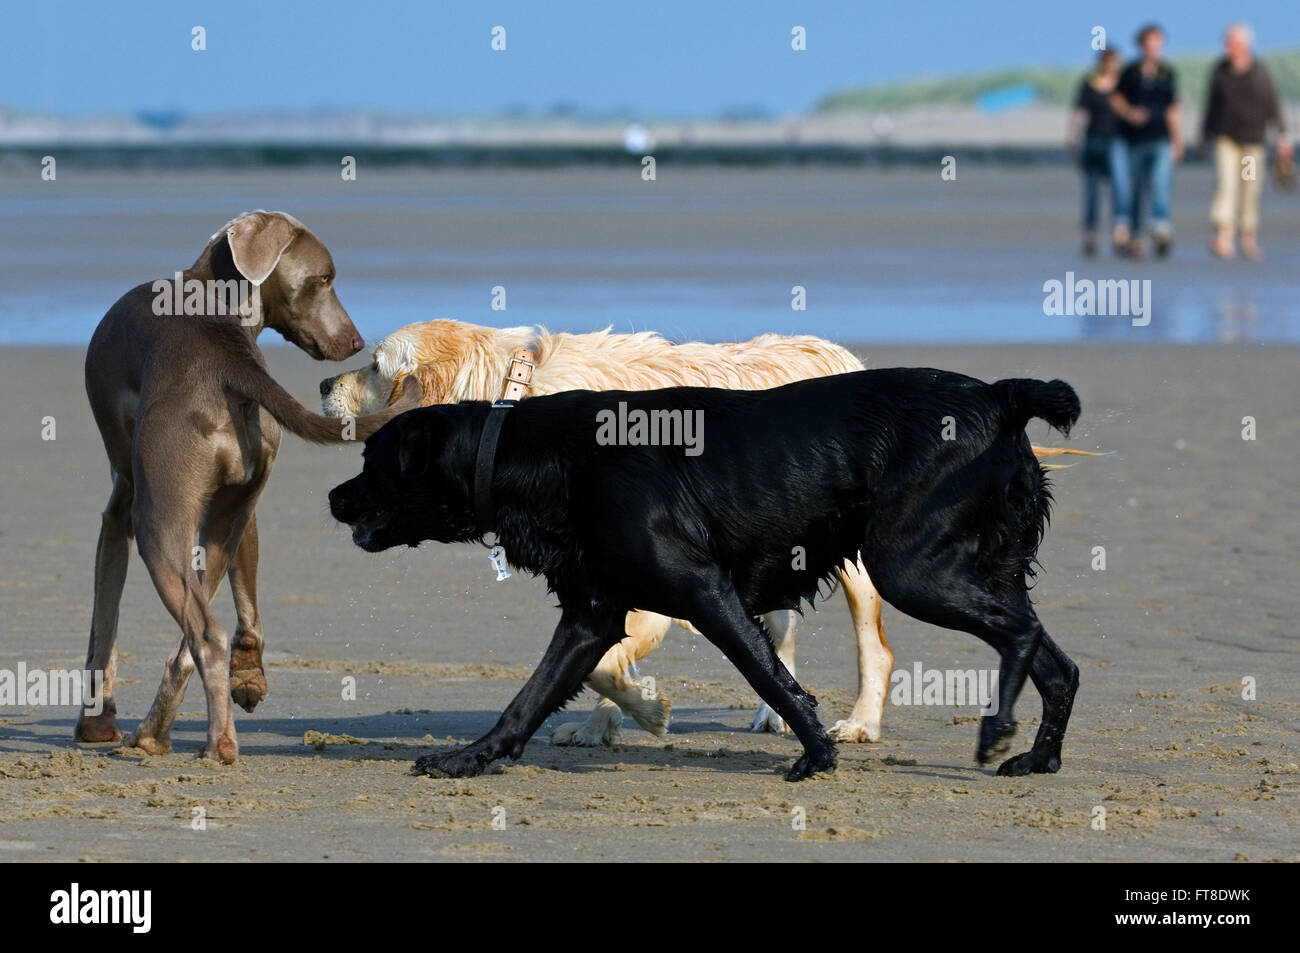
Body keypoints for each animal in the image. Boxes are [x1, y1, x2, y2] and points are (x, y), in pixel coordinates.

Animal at [74, 211, 416, 764]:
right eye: (323, 279)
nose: (356, 341)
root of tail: (223, 359)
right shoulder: (245, 505)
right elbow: (246, 597)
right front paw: (250, 679)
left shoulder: (119, 507)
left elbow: (103, 622)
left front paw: (96, 722)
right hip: (221, 513)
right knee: (190, 643)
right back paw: (158, 731)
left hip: (158, 521)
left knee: (203, 634)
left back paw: (215, 743)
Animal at [330, 369, 1081, 774]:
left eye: (370, 461)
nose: (332, 497)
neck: (531, 452)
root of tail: (998, 398)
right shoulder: (590, 615)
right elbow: (527, 699)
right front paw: (471, 757)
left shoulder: (707, 591)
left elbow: (774, 680)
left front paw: (816, 753)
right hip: (977, 568)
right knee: (1058, 663)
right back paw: (1038, 758)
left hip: (909, 568)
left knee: (1021, 638)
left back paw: (997, 730)